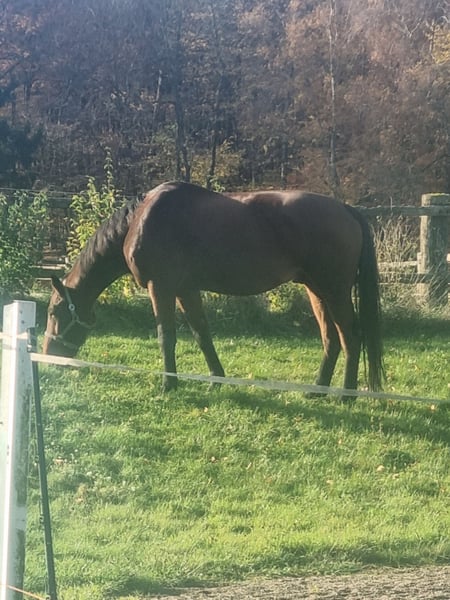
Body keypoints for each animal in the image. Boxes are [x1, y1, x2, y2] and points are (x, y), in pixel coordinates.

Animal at [43, 180, 384, 399]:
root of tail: (346, 209)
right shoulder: (186, 290)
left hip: (335, 291)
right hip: (317, 291)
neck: (140, 220)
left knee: (351, 337)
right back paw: (318, 391)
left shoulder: (161, 287)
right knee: (331, 339)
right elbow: (201, 334)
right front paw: (215, 381)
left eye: (54, 311)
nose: (48, 357)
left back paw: (346, 395)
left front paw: (169, 385)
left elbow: (166, 336)